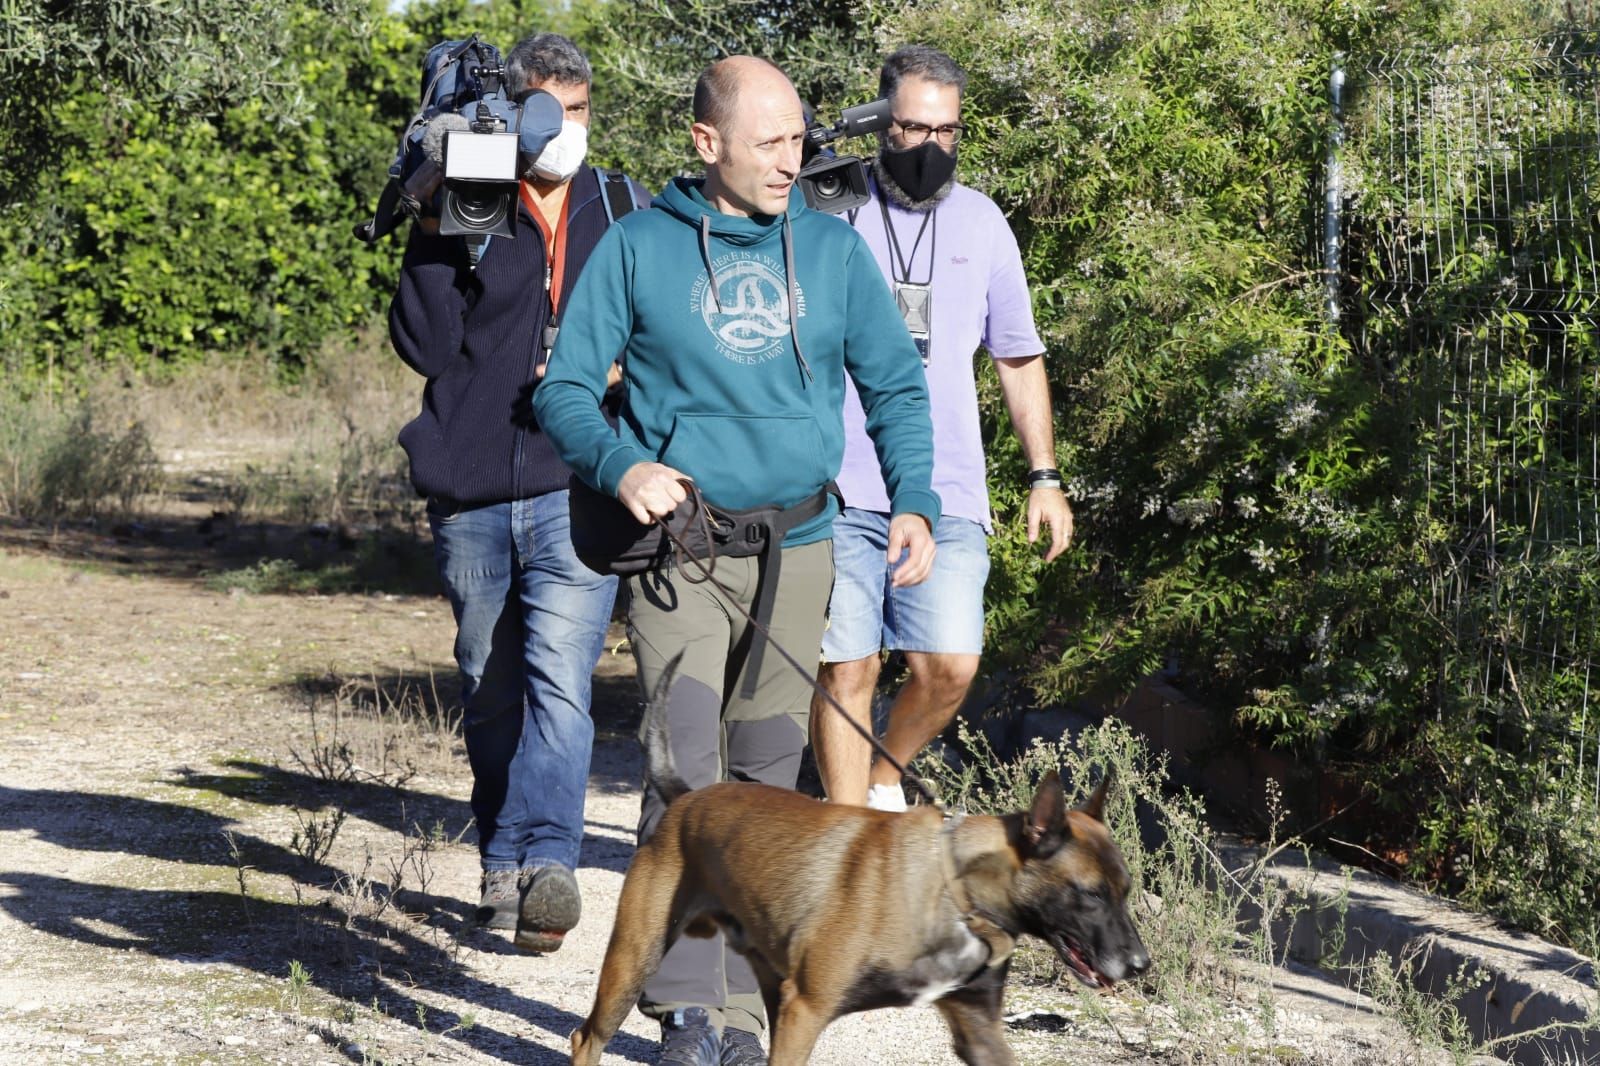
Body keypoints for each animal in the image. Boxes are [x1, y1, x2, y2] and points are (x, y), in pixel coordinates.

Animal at [576, 665, 1152, 1062]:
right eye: (1090, 894)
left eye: (1125, 891)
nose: (1141, 965)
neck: (955, 890)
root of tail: (684, 799)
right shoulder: (807, 1010)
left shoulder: (979, 1029)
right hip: (635, 958)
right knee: (586, 1037)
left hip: (766, 976)